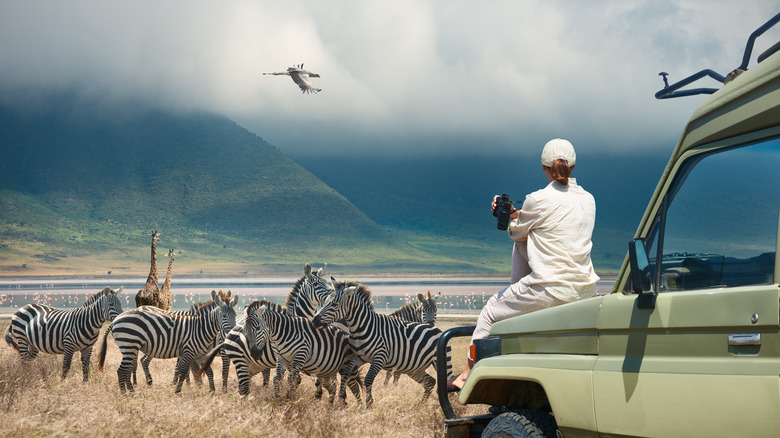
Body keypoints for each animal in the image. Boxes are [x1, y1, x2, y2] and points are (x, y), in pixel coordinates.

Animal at [99, 290, 238, 394]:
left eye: (235, 315)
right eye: (224, 316)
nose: (233, 333)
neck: (201, 328)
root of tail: (115, 320)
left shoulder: (201, 354)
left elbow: (208, 371)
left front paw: (212, 391)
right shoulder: (189, 352)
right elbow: (183, 372)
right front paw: (178, 391)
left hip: (130, 348)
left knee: (128, 369)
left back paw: (132, 391)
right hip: (129, 345)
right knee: (122, 370)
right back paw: (125, 394)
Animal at [310, 280, 450, 408]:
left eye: (334, 304)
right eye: (325, 301)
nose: (314, 321)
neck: (362, 327)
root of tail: (436, 329)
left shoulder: (380, 358)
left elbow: (369, 379)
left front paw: (369, 402)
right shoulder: (358, 358)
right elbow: (345, 375)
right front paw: (342, 397)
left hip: (439, 361)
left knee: (446, 380)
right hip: (415, 368)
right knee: (430, 381)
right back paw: (420, 405)